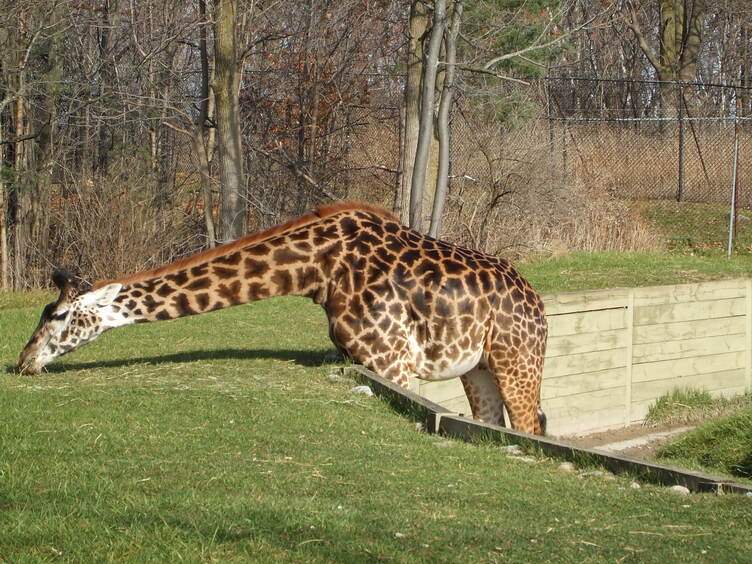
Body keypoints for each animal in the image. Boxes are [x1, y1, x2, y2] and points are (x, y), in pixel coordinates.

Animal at [17, 200, 548, 434]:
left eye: (58, 315)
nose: (23, 361)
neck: (321, 268)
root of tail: (536, 301)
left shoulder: (394, 361)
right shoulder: (365, 360)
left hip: (518, 362)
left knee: (529, 425)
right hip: (478, 368)